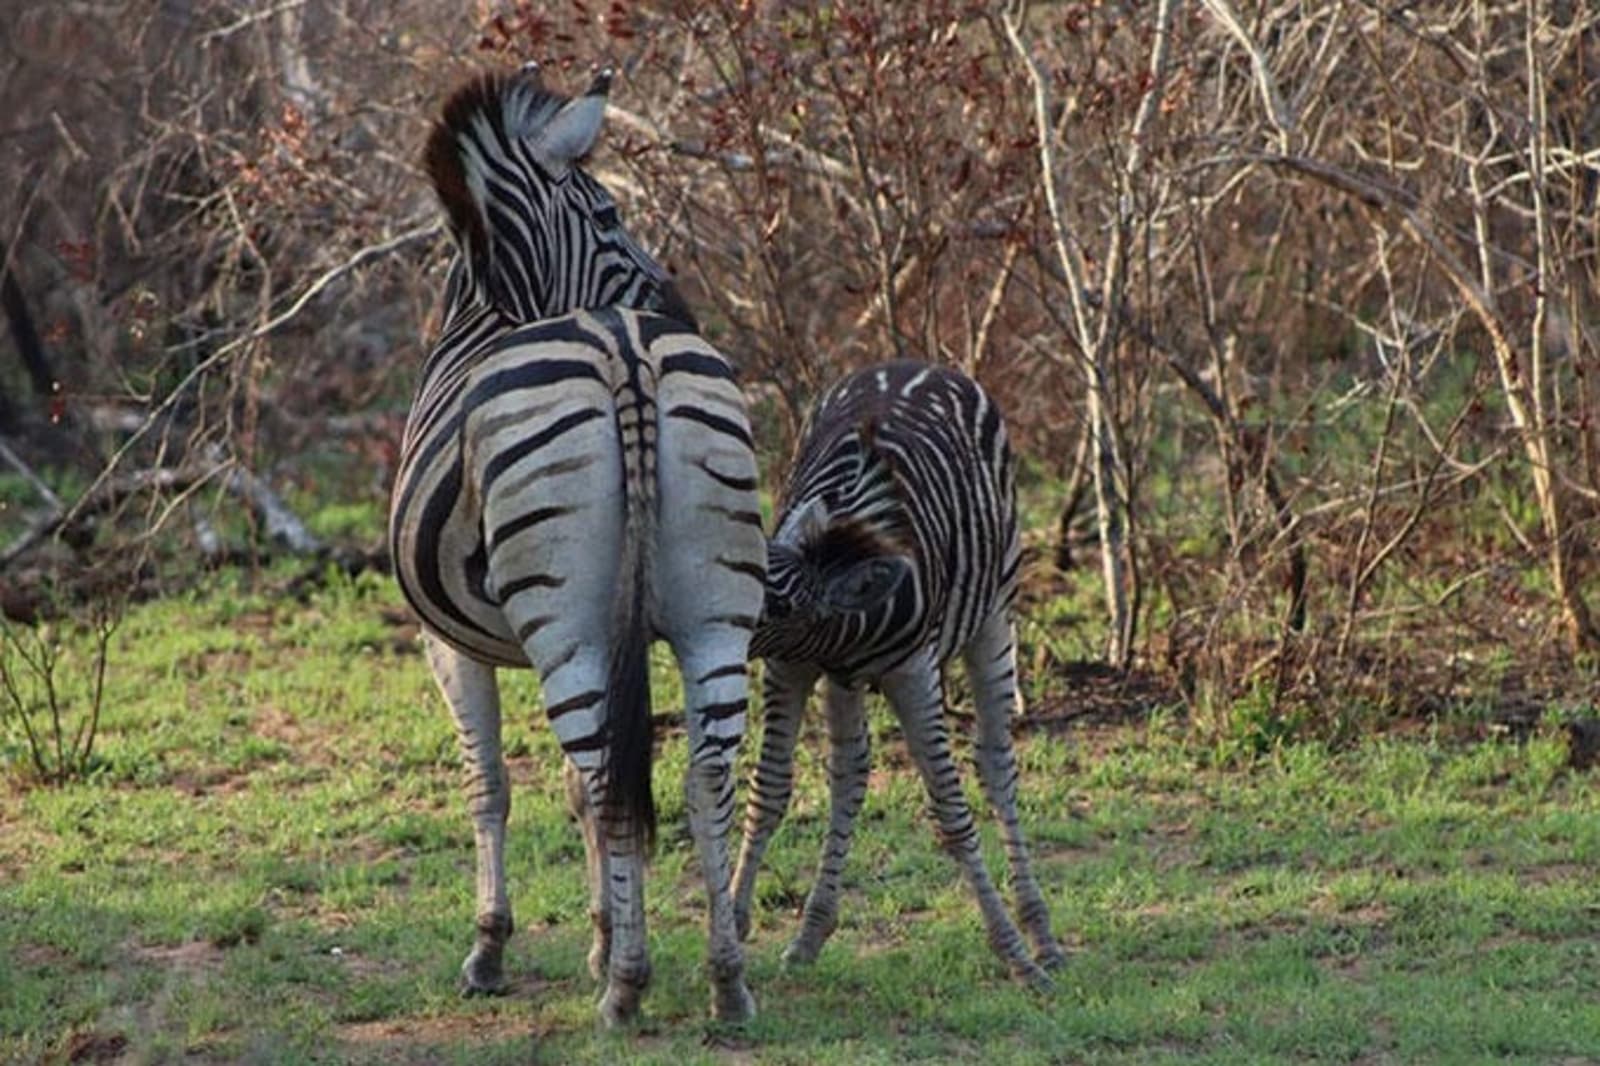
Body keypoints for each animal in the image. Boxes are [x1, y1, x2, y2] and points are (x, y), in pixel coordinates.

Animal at [389, 64, 765, 1026]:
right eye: (609, 214)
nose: (683, 309)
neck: (499, 310)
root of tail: (624, 349)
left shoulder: (446, 644)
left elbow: (494, 784)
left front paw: (492, 947)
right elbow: (574, 788)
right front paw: (599, 934)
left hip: (565, 626)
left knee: (605, 777)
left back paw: (627, 990)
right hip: (713, 614)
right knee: (703, 772)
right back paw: (726, 979)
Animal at [729, 360, 1065, 987]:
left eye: (778, 606)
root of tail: (918, 364)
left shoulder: (912, 674)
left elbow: (952, 815)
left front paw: (1013, 951)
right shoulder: (793, 664)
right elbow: (770, 790)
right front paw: (734, 918)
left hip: (994, 615)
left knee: (995, 765)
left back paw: (1041, 934)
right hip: (843, 680)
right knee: (850, 774)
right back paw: (811, 933)